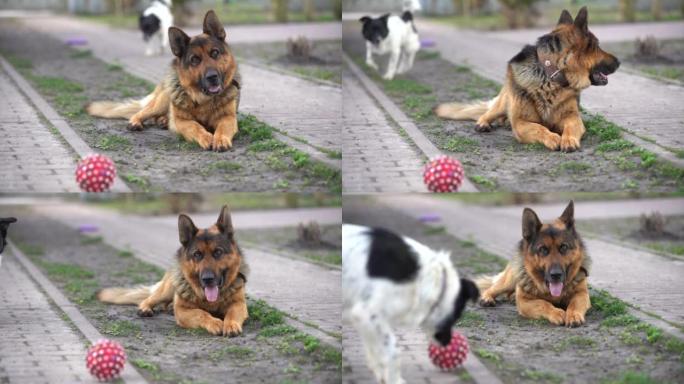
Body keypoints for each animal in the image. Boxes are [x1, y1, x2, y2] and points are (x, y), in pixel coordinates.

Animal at [86, 10, 240, 152]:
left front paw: (220, 139)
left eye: (215, 53)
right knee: (142, 112)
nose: (212, 77)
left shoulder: (229, 118)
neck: (203, 100)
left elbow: (223, 128)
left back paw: (163, 121)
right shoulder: (181, 121)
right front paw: (206, 137)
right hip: (161, 102)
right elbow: (194, 126)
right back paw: (136, 122)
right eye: (195, 60)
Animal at [97, 204, 250, 336]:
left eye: (218, 252)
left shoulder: (239, 304)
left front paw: (230, 324)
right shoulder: (182, 311)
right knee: (150, 298)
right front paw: (214, 322)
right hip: (167, 289)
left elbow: (231, 313)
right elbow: (201, 313)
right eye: (197, 254)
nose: (207, 279)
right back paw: (145, 308)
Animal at [342, 224, 480, 382]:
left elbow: (374, 348)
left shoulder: (364, 318)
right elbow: (394, 350)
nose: (447, 342)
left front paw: (381, 373)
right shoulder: (367, 312)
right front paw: (394, 379)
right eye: (457, 316)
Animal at [438, 7, 620, 152]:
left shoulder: (573, 118)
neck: (550, 77)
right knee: (488, 113)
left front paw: (568, 139)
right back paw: (484, 123)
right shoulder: (520, 123)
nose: (619, 62)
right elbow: (539, 128)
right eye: (598, 46)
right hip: (503, 102)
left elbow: (570, 127)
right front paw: (553, 137)